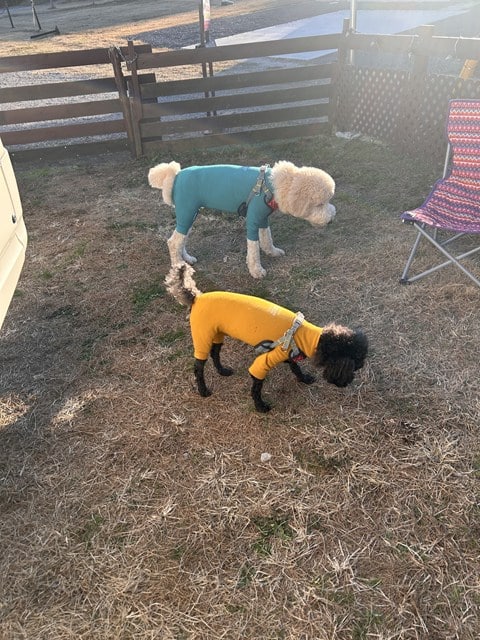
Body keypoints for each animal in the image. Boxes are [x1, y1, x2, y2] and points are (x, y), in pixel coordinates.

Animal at [148, 161, 336, 279]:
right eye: (320, 204)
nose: (331, 220)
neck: (274, 185)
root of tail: (175, 174)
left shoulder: (262, 218)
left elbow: (267, 238)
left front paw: (272, 252)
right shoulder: (252, 220)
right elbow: (253, 249)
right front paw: (256, 271)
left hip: (190, 214)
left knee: (181, 239)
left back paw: (187, 258)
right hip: (187, 211)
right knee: (173, 242)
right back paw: (179, 264)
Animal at [165, 263, 368, 413]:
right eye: (357, 358)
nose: (361, 366)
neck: (307, 337)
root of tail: (196, 297)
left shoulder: (289, 355)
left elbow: (296, 368)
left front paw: (304, 379)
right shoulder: (263, 363)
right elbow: (256, 387)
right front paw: (260, 407)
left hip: (217, 334)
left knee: (216, 353)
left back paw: (222, 371)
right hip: (202, 336)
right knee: (198, 367)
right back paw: (203, 390)